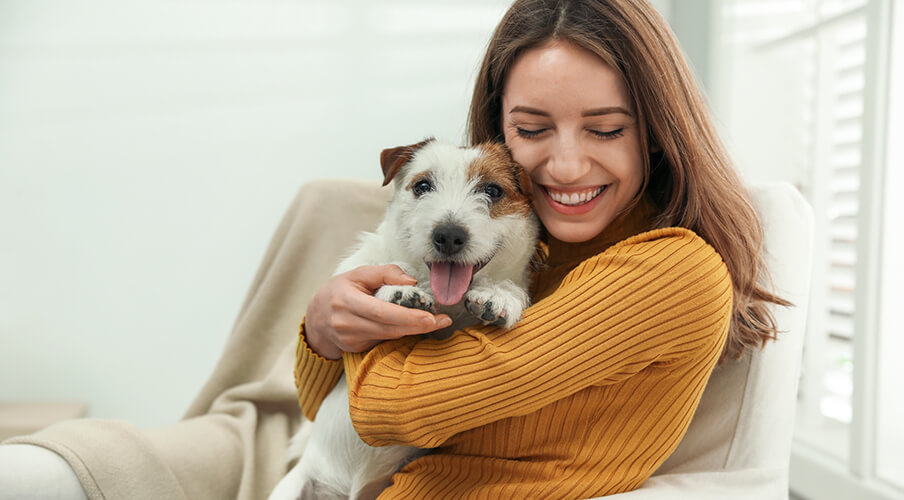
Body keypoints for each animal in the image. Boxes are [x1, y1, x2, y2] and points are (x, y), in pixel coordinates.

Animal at [268, 138, 536, 500]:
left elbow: (508, 287)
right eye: (422, 186)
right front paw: (400, 289)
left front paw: (500, 295)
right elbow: (387, 269)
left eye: (493, 190)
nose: (448, 235)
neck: (447, 304)